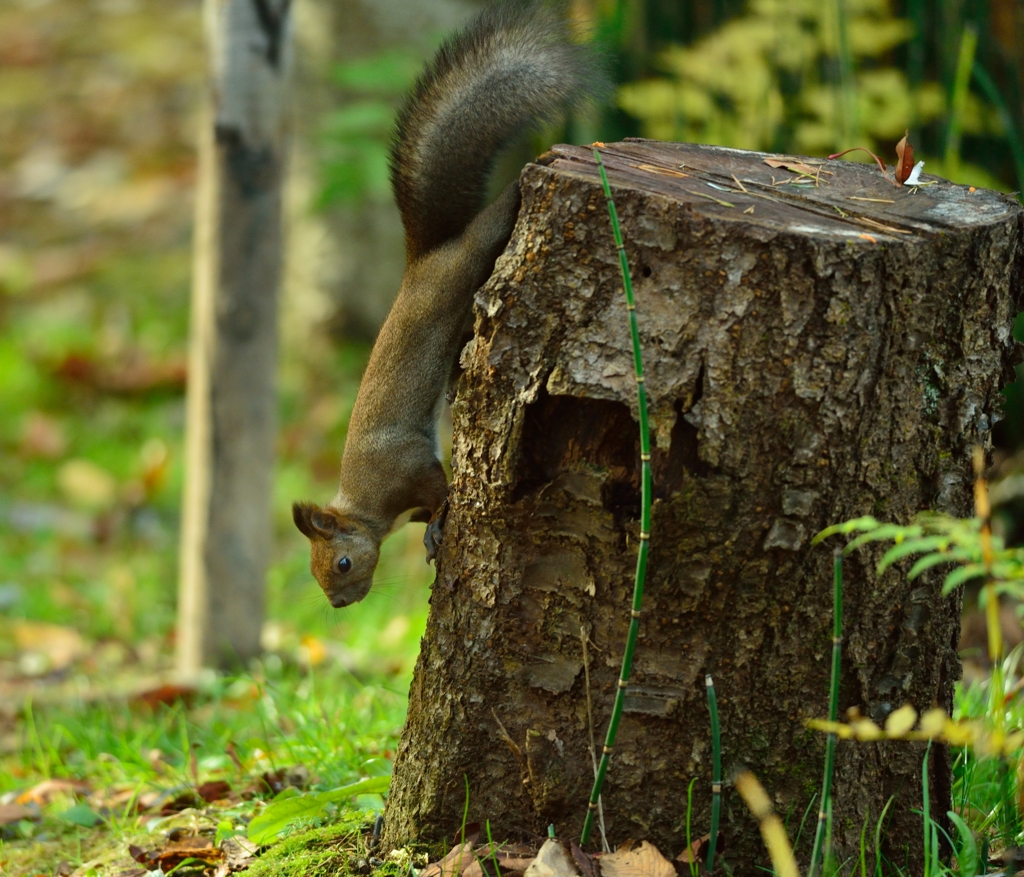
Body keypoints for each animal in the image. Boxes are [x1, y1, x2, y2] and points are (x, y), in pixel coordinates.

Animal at [292, 0, 602, 606]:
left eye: (341, 562)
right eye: (316, 576)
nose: (339, 603)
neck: (367, 508)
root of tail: (425, 260)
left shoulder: (407, 469)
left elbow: (438, 491)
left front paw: (438, 524)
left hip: (472, 256)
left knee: (493, 223)